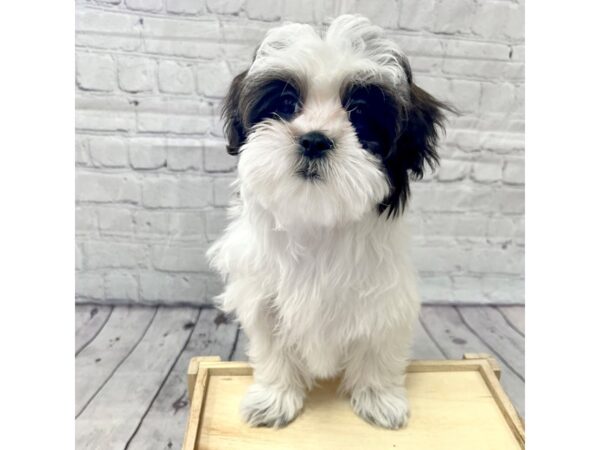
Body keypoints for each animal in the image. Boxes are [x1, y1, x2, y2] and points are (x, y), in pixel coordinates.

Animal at [209, 13, 448, 428]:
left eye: (360, 114)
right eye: (288, 104)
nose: (314, 140)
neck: (318, 219)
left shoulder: (384, 298)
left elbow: (378, 348)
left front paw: (379, 398)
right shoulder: (263, 299)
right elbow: (273, 349)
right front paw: (275, 398)